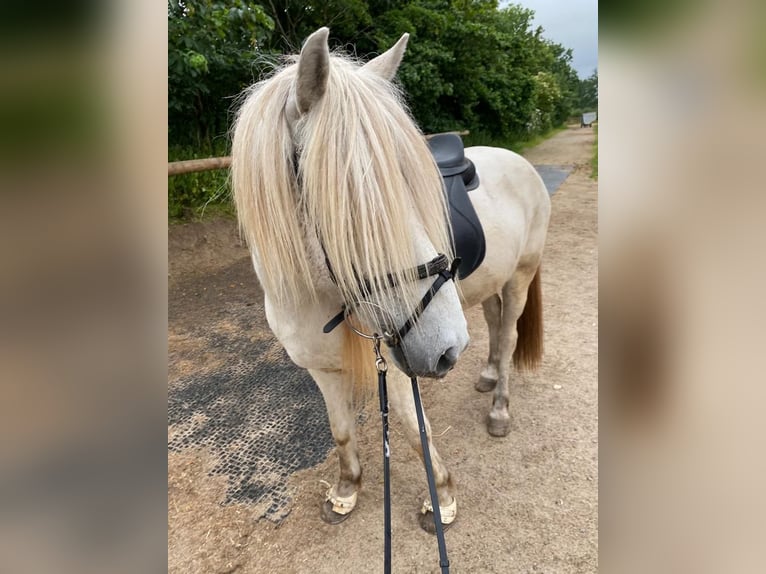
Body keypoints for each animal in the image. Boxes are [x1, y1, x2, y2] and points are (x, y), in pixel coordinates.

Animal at [230, 27, 552, 532]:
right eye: (353, 203)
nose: (448, 348)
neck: (315, 297)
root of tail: (518, 161)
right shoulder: (321, 369)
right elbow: (340, 430)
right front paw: (346, 491)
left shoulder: (400, 365)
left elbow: (412, 427)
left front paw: (441, 500)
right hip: (490, 284)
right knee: (496, 326)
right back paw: (486, 375)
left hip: (520, 276)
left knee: (510, 332)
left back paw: (499, 407)